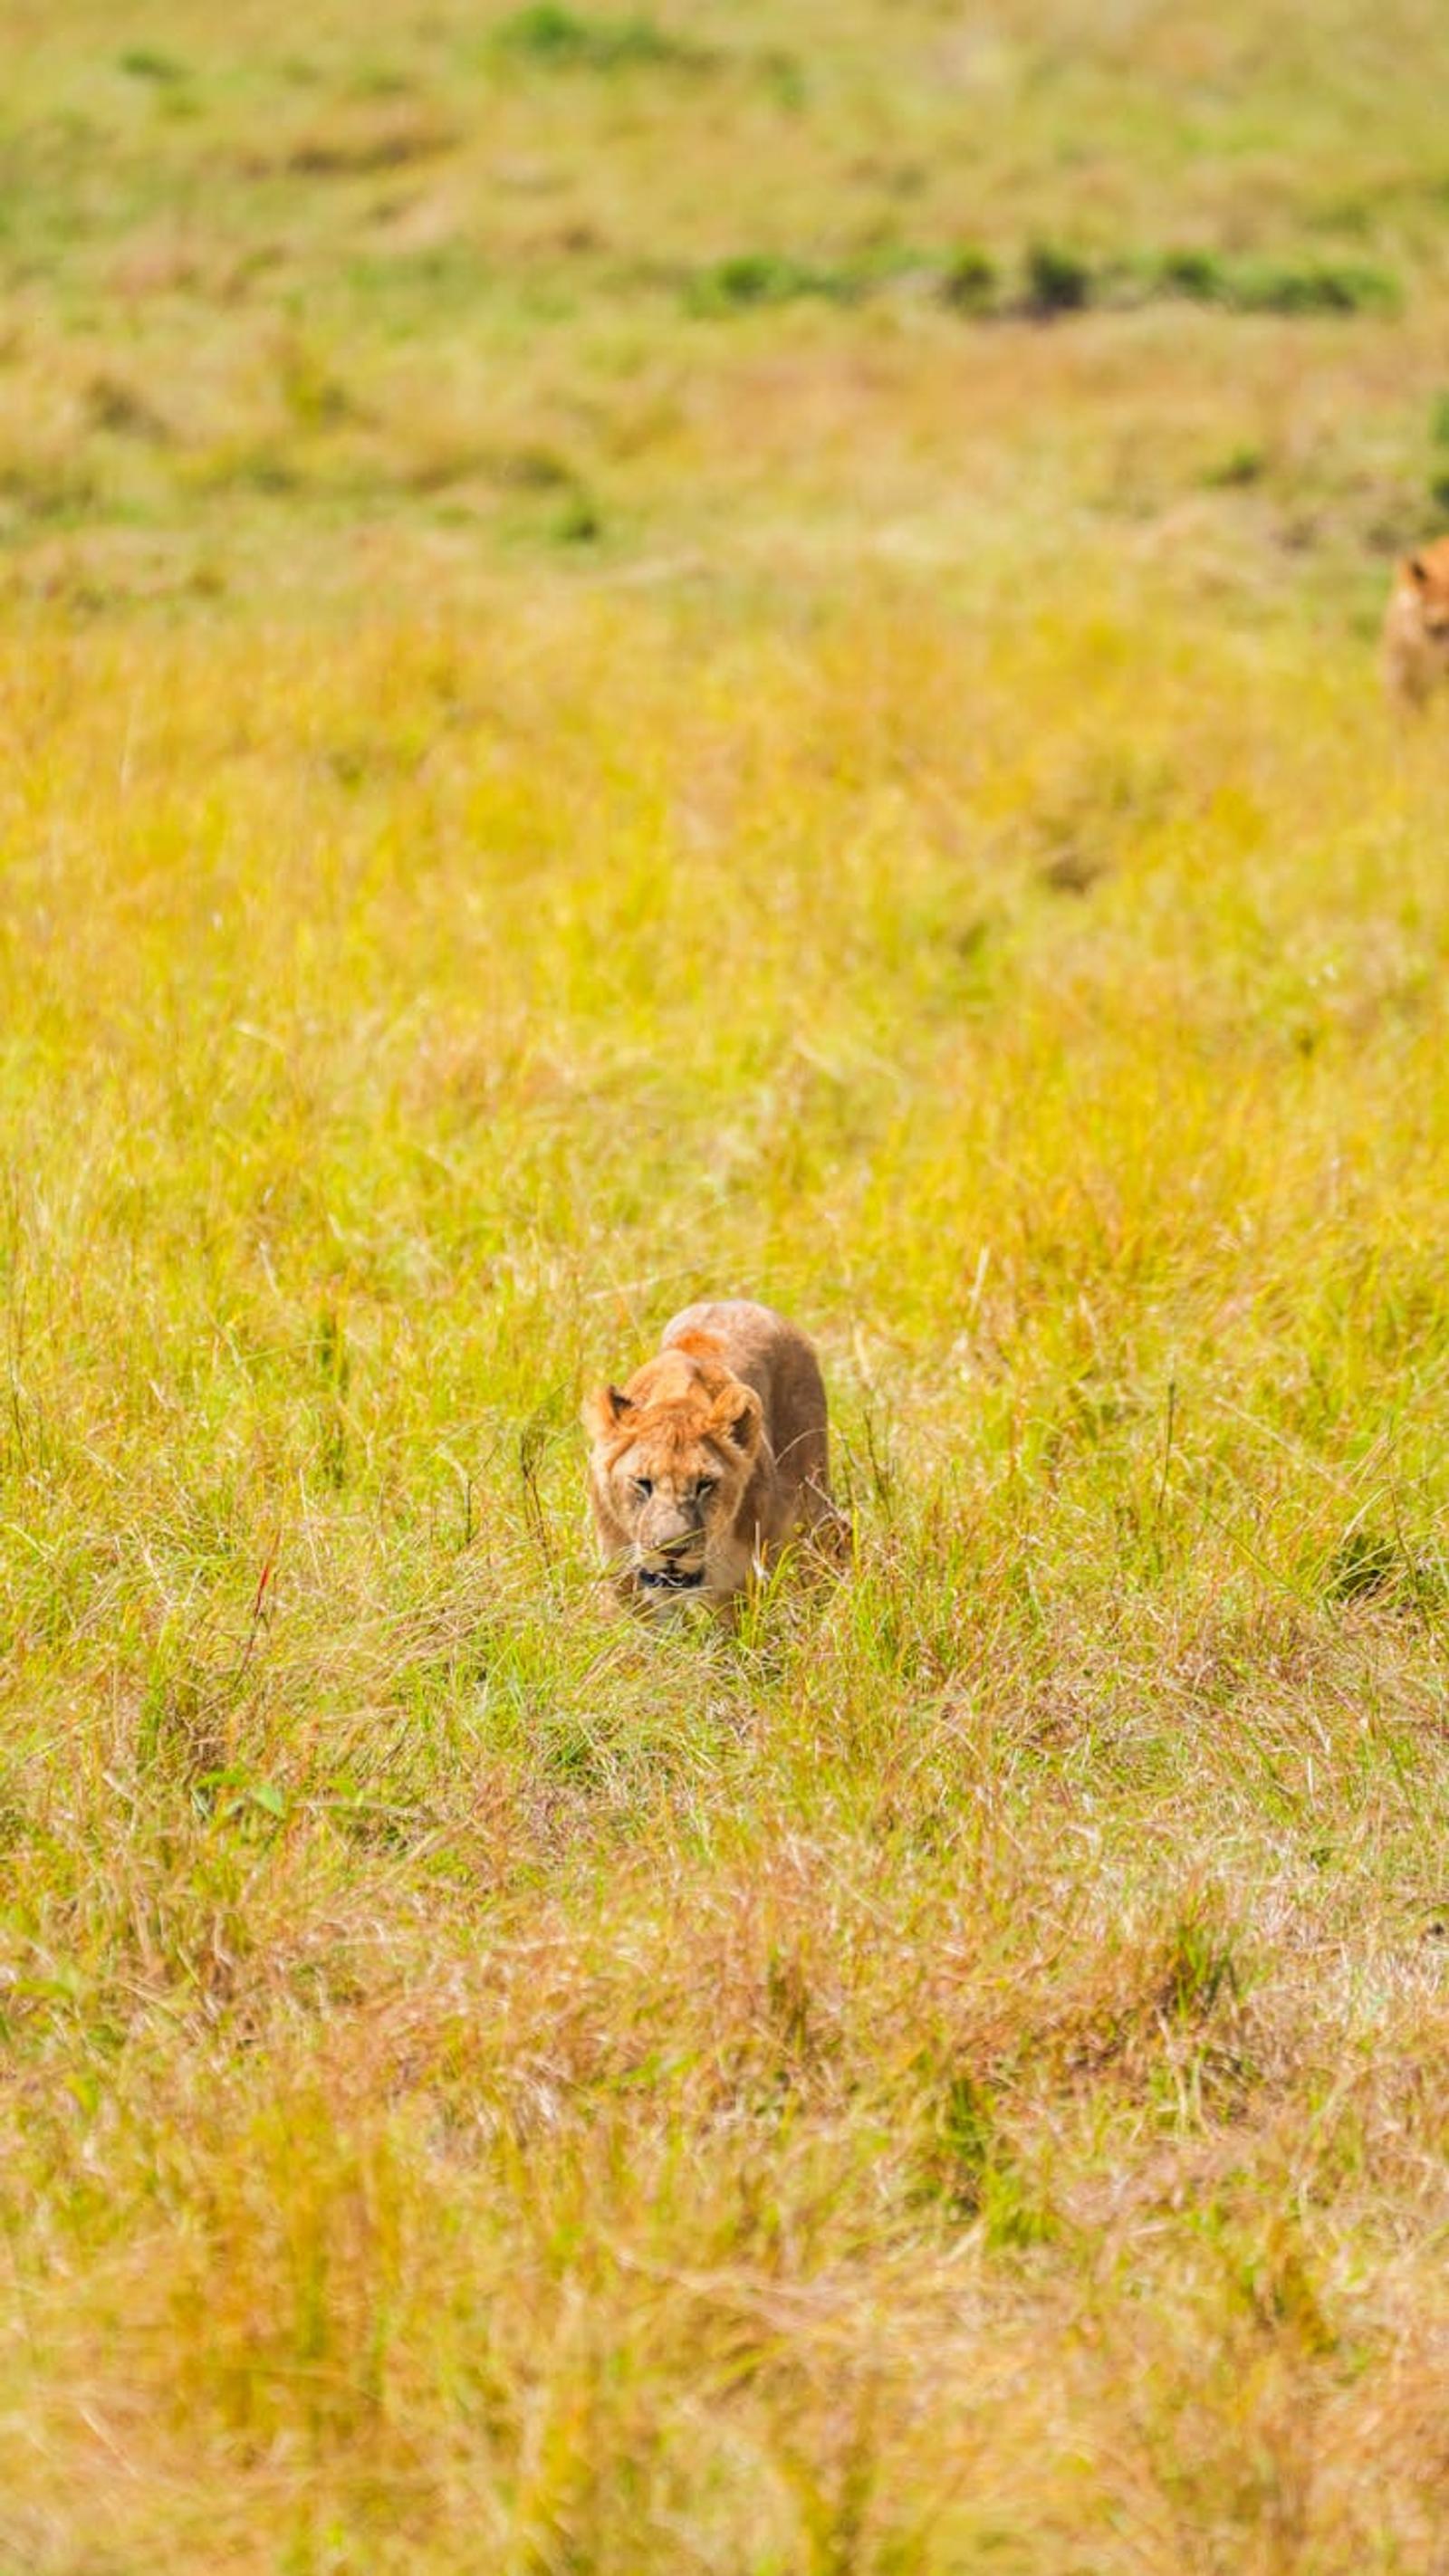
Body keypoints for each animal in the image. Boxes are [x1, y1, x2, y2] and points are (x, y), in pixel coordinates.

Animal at [582, 1299, 833, 1618]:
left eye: (705, 1484)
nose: (672, 1550)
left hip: (811, 1504)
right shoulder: (620, 1574)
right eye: (642, 1483)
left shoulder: (742, 1580)